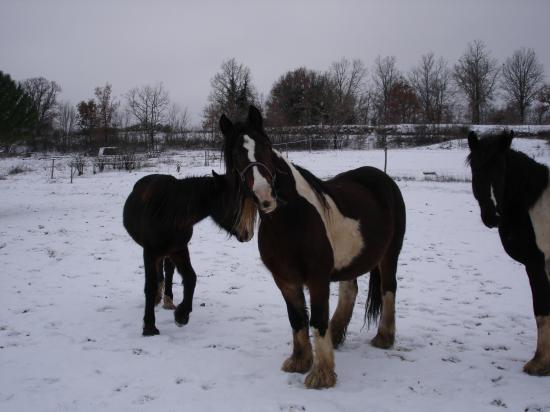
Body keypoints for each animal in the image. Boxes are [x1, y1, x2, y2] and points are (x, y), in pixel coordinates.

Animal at [123, 172, 256, 336]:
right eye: (234, 203)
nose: (248, 234)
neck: (168, 212)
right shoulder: (150, 252)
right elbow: (150, 285)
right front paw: (149, 326)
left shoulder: (179, 249)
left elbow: (191, 277)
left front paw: (182, 315)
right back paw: (158, 299)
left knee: (168, 270)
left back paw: (167, 300)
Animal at [222, 107, 408, 390]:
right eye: (235, 155)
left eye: (265, 146)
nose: (265, 196)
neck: (291, 220)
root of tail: (382, 178)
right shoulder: (285, 280)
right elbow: (297, 318)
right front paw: (300, 361)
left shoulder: (318, 278)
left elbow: (317, 320)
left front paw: (321, 374)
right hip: (351, 261)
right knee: (349, 291)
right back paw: (338, 335)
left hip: (390, 254)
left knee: (388, 289)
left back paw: (384, 337)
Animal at [470, 130, 550, 374]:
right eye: (476, 169)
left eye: (501, 171)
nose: (492, 216)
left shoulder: (536, 262)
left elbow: (541, 308)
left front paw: (539, 362)